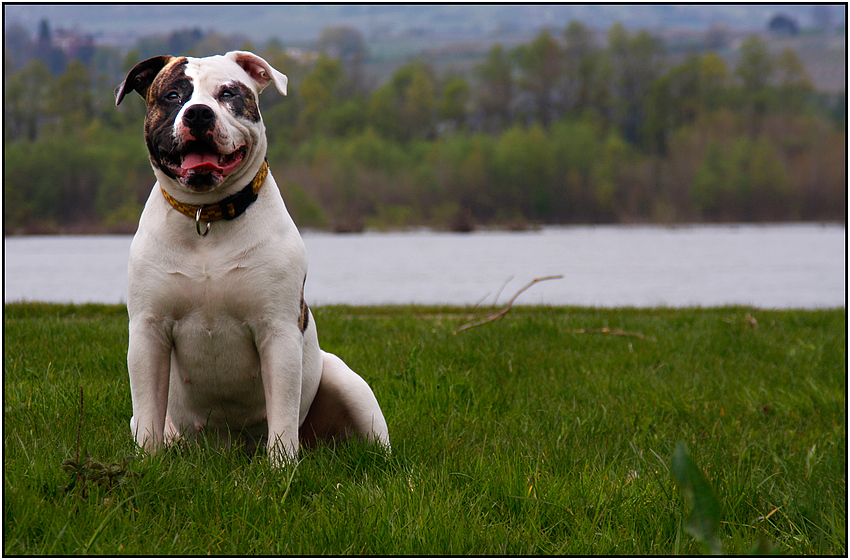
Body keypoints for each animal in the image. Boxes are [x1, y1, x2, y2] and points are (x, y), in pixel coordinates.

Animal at [114, 50, 390, 462]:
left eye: (228, 93)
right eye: (173, 95)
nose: (198, 113)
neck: (207, 217)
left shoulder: (277, 331)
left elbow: (282, 412)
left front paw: (281, 467)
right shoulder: (149, 332)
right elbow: (148, 410)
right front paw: (147, 463)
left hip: (347, 384)